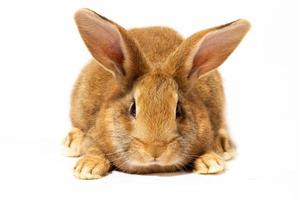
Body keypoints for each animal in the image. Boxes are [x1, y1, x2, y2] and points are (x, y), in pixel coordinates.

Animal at [63, 8, 251, 180]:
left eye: (178, 110)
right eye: (133, 108)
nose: (155, 150)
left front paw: (210, 162)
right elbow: (94, 149)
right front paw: (88, 167)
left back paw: (224, 146)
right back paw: (72, 143)